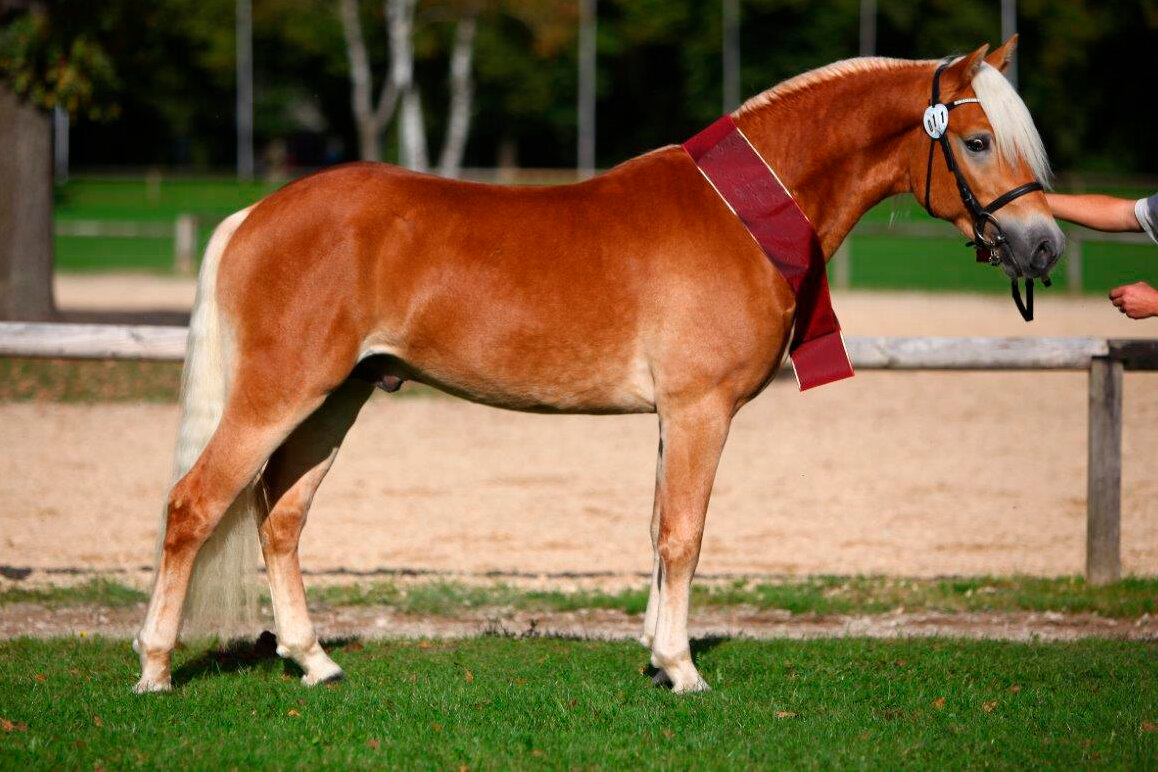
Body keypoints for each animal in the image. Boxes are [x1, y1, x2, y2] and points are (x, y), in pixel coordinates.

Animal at [134, 37, 1062, 694]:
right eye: (978, 140)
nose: (1044, 245)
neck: (740, 213)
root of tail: (255, 214)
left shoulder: (674, 418)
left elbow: (657, 531)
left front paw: (656, 654)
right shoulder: (699, 410)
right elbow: (685, 533)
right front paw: (684, 671)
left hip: (336, 400)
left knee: (280, 518)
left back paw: (313, 660)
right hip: (281, 394)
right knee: (193, 505)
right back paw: (155, 668)